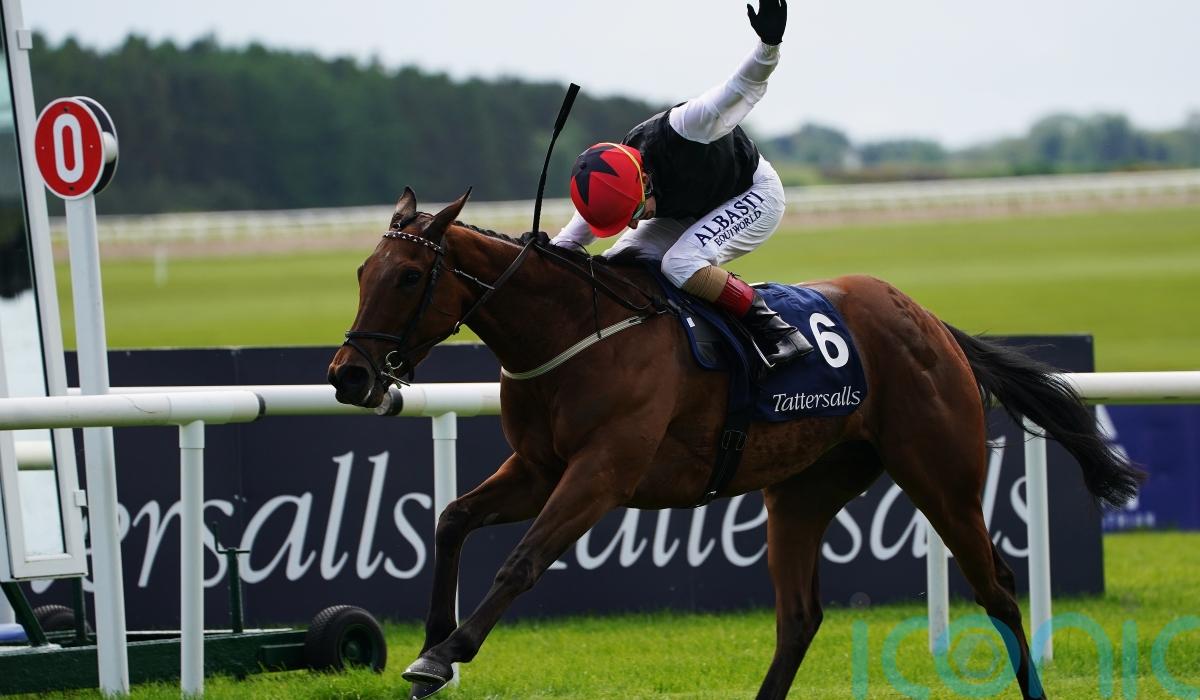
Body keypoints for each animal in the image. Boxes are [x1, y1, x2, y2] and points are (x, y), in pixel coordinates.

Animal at [327, 188, 1143, 700]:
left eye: (408, 276)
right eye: (362, 271)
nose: (348, 375)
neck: (573, 330)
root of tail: (932, 323)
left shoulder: (603, 471)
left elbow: (522, 562)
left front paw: (447, 654)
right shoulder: (539, 466)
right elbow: (452, 519)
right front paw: (431, 644)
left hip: (940, 472)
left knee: (996, 588)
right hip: (805, 490)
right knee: (800, 616)